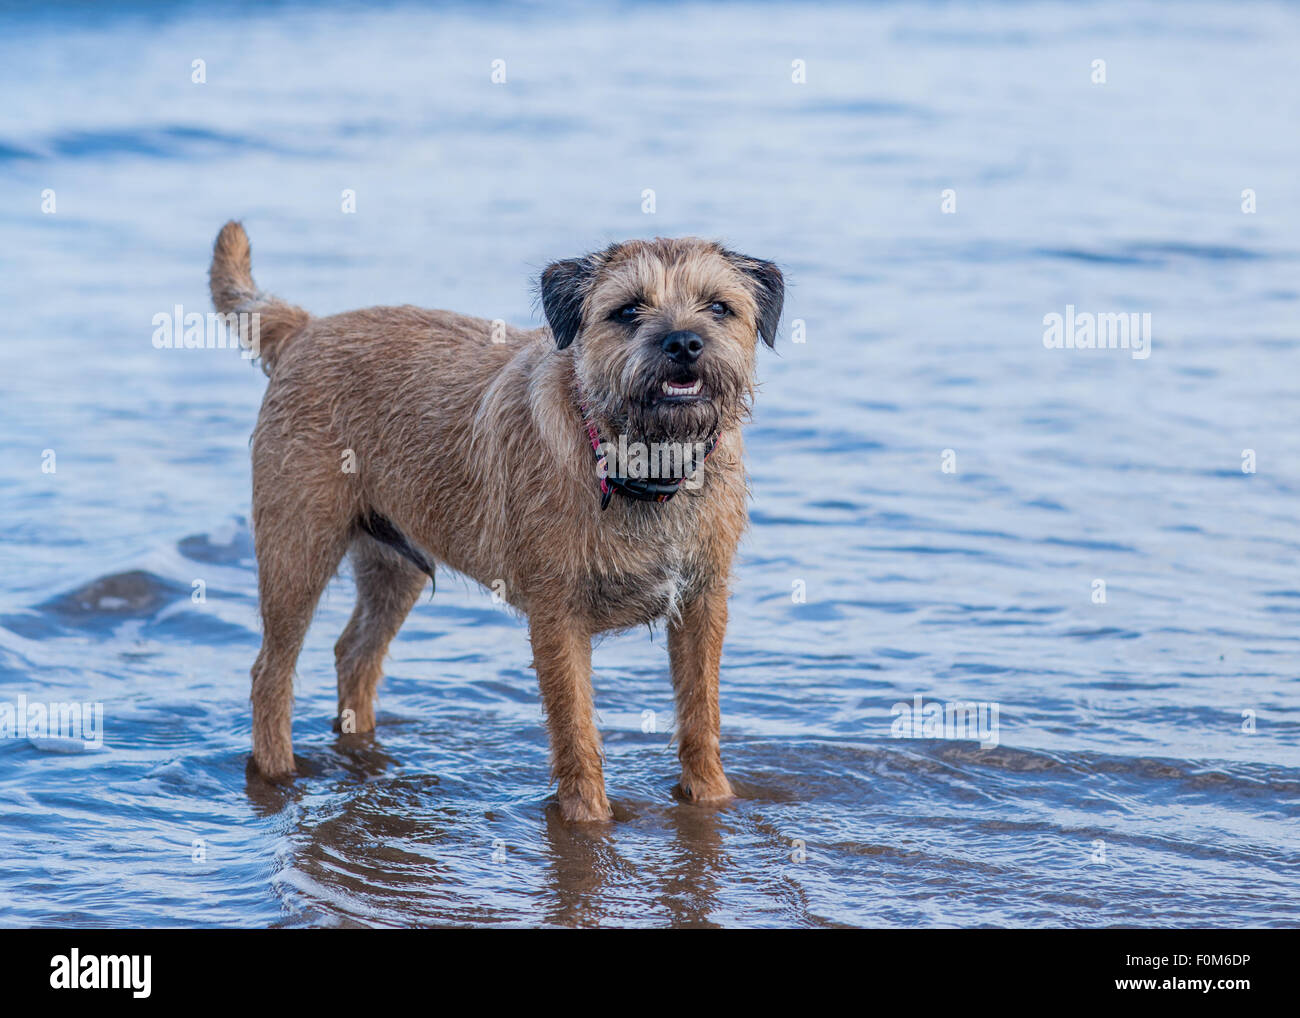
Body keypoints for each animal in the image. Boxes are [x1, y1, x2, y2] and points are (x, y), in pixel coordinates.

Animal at [211, 221, 780, 821]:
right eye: (628, 310)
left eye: (718, 307)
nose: (684, 342)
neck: (639, 466)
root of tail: (306, 328)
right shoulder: (558, 618)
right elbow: (575, 730)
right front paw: (587, 819)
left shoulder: (702, 604)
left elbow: (701, 714)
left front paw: (712, 797)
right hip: (296, 553)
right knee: (271, 674)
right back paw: (278, 773)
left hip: (394, 566)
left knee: (354, 655)